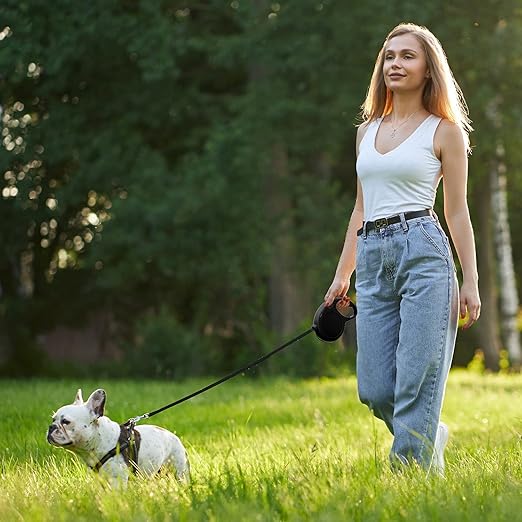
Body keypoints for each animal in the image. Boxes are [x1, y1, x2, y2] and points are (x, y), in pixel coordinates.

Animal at [46, 388, 189, 486]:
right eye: (53, 419)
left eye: (65, 422)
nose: (51, 427)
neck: (99, 440)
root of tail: (174, 437)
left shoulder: (117, 480)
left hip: (179, 471)